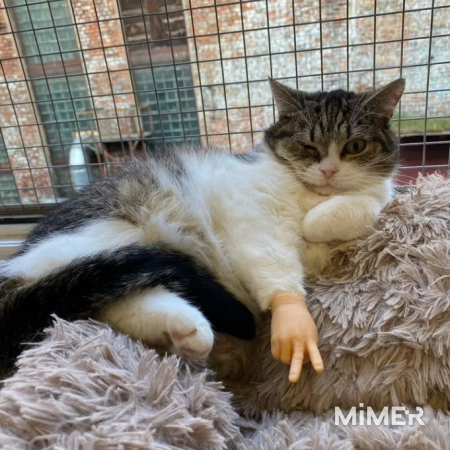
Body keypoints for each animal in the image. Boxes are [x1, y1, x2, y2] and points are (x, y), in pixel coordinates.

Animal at [0, 78, 404, 373]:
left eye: (355, 147)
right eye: (308, 147)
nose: (329, 171)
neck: (311, 195)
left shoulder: (376, 194)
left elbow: (371, 199)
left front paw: (320, 222)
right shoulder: (250, 212)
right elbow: (272, 261)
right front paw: (292, 317)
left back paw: (188, 333)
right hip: (125, 229)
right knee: (100, 294)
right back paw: (190, 328)